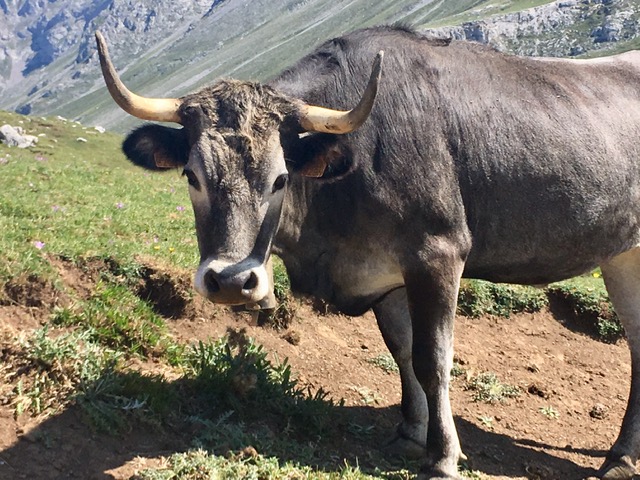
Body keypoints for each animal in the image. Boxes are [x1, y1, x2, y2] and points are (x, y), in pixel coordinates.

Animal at [95, 27, 640, 480]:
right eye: (192, 176)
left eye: (280, 179)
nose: (230, 281)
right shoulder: (385, 273)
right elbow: (402, 351)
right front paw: (410, 433)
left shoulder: (438, 253)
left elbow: (432, 358)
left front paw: (442, 457)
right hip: (621, 256)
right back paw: (620, 457)